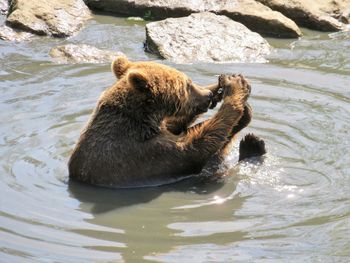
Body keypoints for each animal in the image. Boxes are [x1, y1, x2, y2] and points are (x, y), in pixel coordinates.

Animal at [68, 56, 266, 188]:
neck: (142, 120)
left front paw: (220, 87)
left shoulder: (159, 130)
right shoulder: (142, 153)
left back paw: (252, 141)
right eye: (187, 84)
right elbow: (196, 146)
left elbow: (178, 128)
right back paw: (251, 144)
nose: (208, 95)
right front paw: (236, 86)